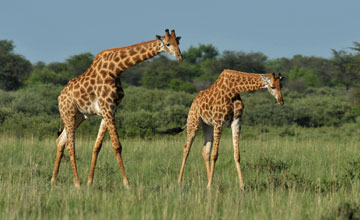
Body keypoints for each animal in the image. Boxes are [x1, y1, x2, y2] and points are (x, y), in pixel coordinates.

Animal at [50, 28, 183, 187]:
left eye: (178, 42)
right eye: (168, 43)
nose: (180, 57)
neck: (116, 69)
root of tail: (59, 97)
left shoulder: (109, 110)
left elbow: (97, 146)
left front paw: (90, 181)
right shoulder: (107, 108)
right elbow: (117, 145)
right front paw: (126, 183)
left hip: (79, 116)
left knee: (61, 141)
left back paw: (53, 179)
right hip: (68, 113)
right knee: (70, 145)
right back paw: (77, 183)